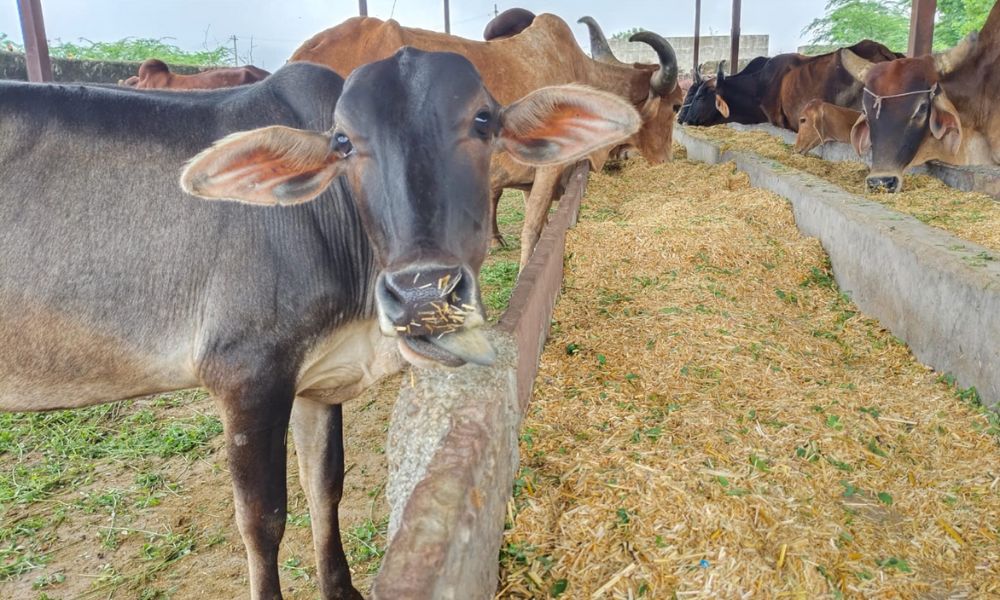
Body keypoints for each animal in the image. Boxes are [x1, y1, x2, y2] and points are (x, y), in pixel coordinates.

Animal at [0, 48, 640, 599]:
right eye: (343, 143)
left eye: (483, 120)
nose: (421, 295)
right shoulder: (247, 373)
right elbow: (262, 519)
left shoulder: (318, 378)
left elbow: (324, 485)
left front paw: (342, 587)